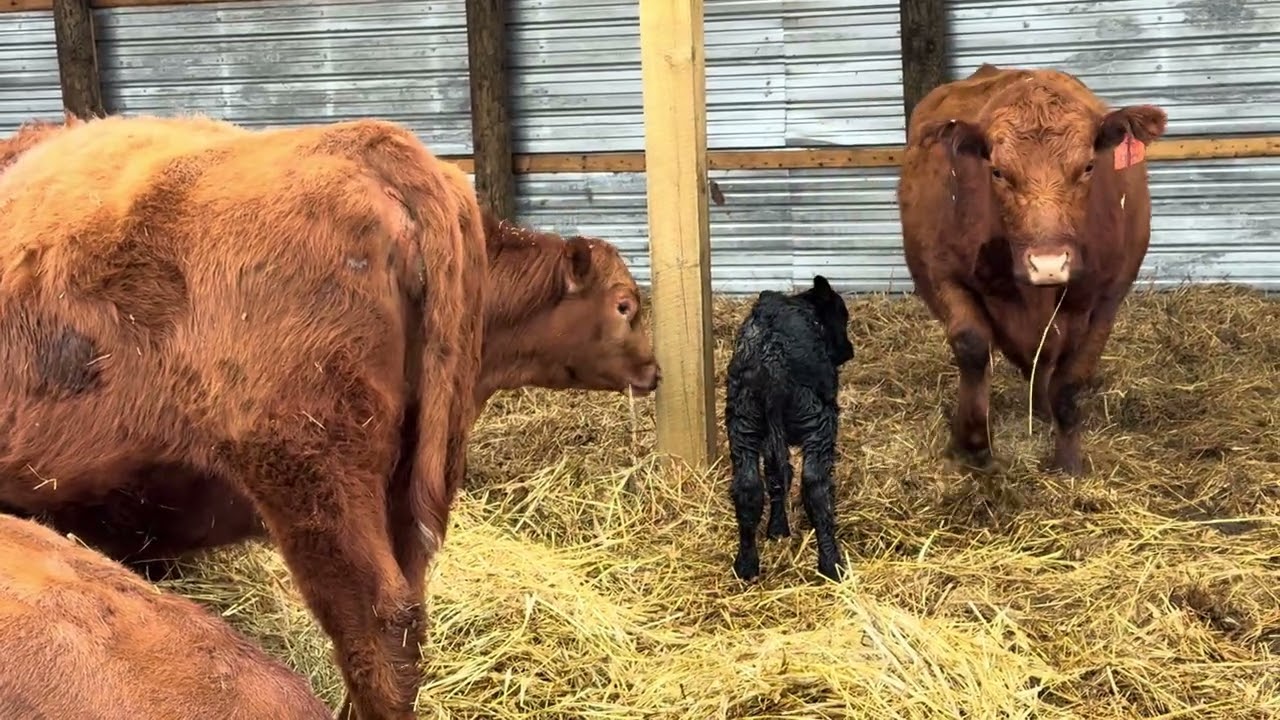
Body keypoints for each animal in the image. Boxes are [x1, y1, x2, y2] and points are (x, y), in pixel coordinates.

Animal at [897, 64, 1167, 476]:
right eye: (997, 171)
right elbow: (972, 348)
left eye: (1088, 166)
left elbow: (1070, 381)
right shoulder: (941, 273)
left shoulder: (1107, 297)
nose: (1049, 265)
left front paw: (1068, 460)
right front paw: (972, 444)